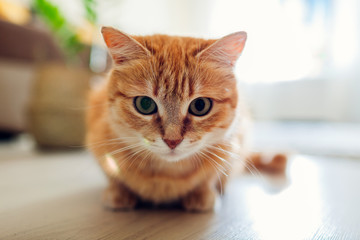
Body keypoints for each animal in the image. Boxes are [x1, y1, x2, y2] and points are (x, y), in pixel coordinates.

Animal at [86, 26, 252, 212]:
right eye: (145, 104)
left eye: (200, 105)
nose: (172, 141)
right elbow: (114, 176)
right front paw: (118, 192)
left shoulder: (231, 147)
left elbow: (209, 178)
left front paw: (202, 195)